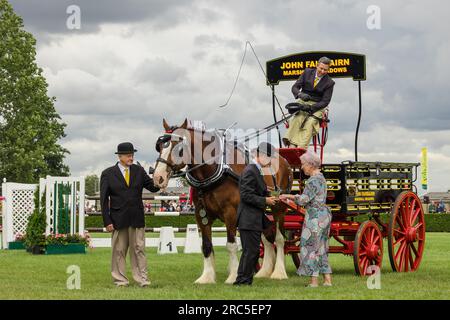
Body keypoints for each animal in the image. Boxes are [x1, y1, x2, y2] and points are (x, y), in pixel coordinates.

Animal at [153, 119, 294, 284]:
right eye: (159, 147)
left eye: (179, 149)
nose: (158, 177)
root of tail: (284, 160)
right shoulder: (201, 214)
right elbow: (206, 245)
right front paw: (206, 277)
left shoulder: (231, 213)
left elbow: (231, 244)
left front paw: (233, 276)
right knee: (266, 237)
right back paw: (264, 271)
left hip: (279, 206)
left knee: (279, 238)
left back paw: (279, 272)